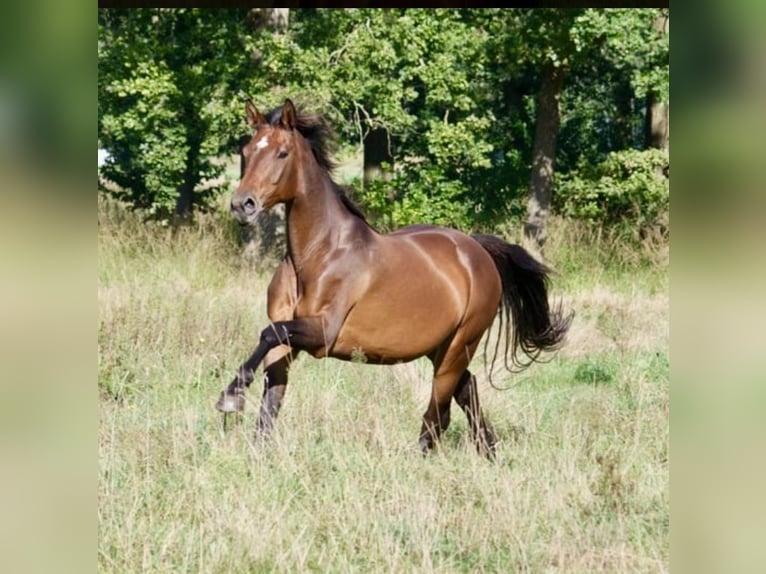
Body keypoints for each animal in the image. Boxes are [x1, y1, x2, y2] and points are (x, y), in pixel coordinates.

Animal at [214, 100, 568, 460]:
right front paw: (256, 448)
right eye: (246, 151)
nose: (242, 205)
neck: (317, 254)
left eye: (282, 153)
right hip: (440, 348)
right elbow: (271, 396)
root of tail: (476, 250)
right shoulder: (289, 338)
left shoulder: (323, 332)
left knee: (439, 411)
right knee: (466, 390)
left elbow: (269, 334)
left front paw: (230, 396)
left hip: (460, 346)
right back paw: (489, 452)